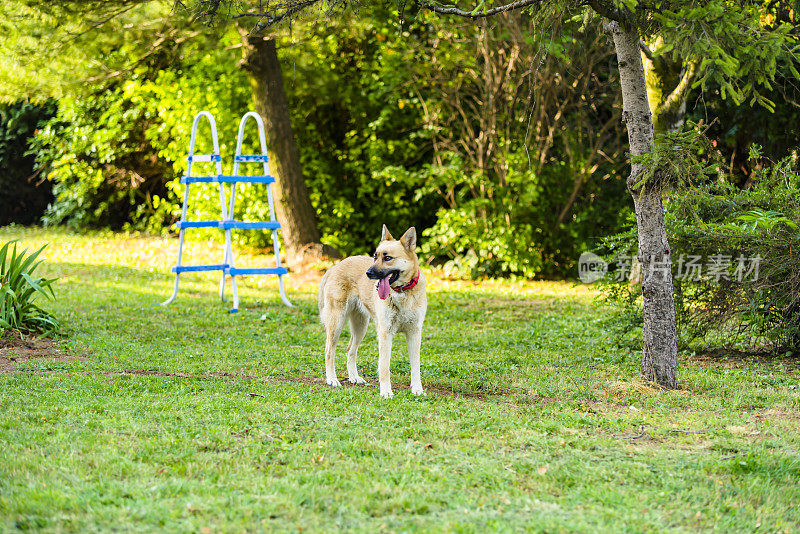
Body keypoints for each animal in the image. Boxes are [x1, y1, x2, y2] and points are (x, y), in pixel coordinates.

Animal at [318, 225, 428, 398]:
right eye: (375, 257)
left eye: (388, 258)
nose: (368, 273)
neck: (402, 293)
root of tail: (336, 266)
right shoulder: (385, 333)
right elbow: (384, 366)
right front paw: (386, 391)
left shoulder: (414, 333)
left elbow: (415, 365)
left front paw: (417, 388)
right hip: (336, 324)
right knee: (329, 350)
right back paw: (332, 379)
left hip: (360, 327)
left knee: (350, 350)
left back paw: (354, 377)